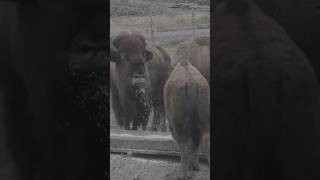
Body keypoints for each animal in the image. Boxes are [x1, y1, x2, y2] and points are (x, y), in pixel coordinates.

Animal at [165, 42, 210, 179]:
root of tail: (191, 82)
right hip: (205, 121)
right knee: (204, 141)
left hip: (178, 125)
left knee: (185, 145)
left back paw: (182, 174)